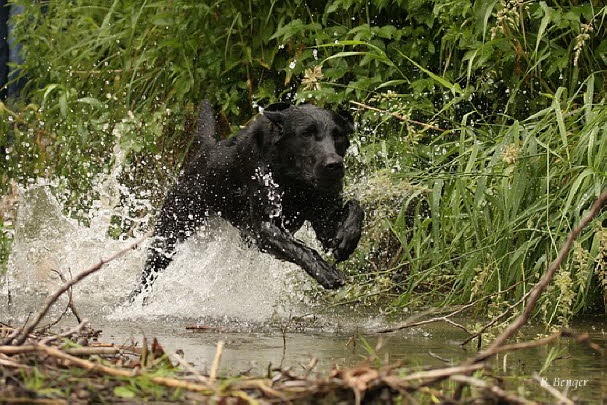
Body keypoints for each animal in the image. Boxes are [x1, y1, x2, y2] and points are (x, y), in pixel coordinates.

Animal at [130, 101, 364, 300]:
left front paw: (347, 237)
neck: (295, 182)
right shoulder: (265, 228)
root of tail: (206, 150)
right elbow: (301, 249)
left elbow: (355, 207)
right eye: (307, 133)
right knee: (147, 275)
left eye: (338, 135)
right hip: (170, 233)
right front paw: (324, 271)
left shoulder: (325, 222)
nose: (334, 165)